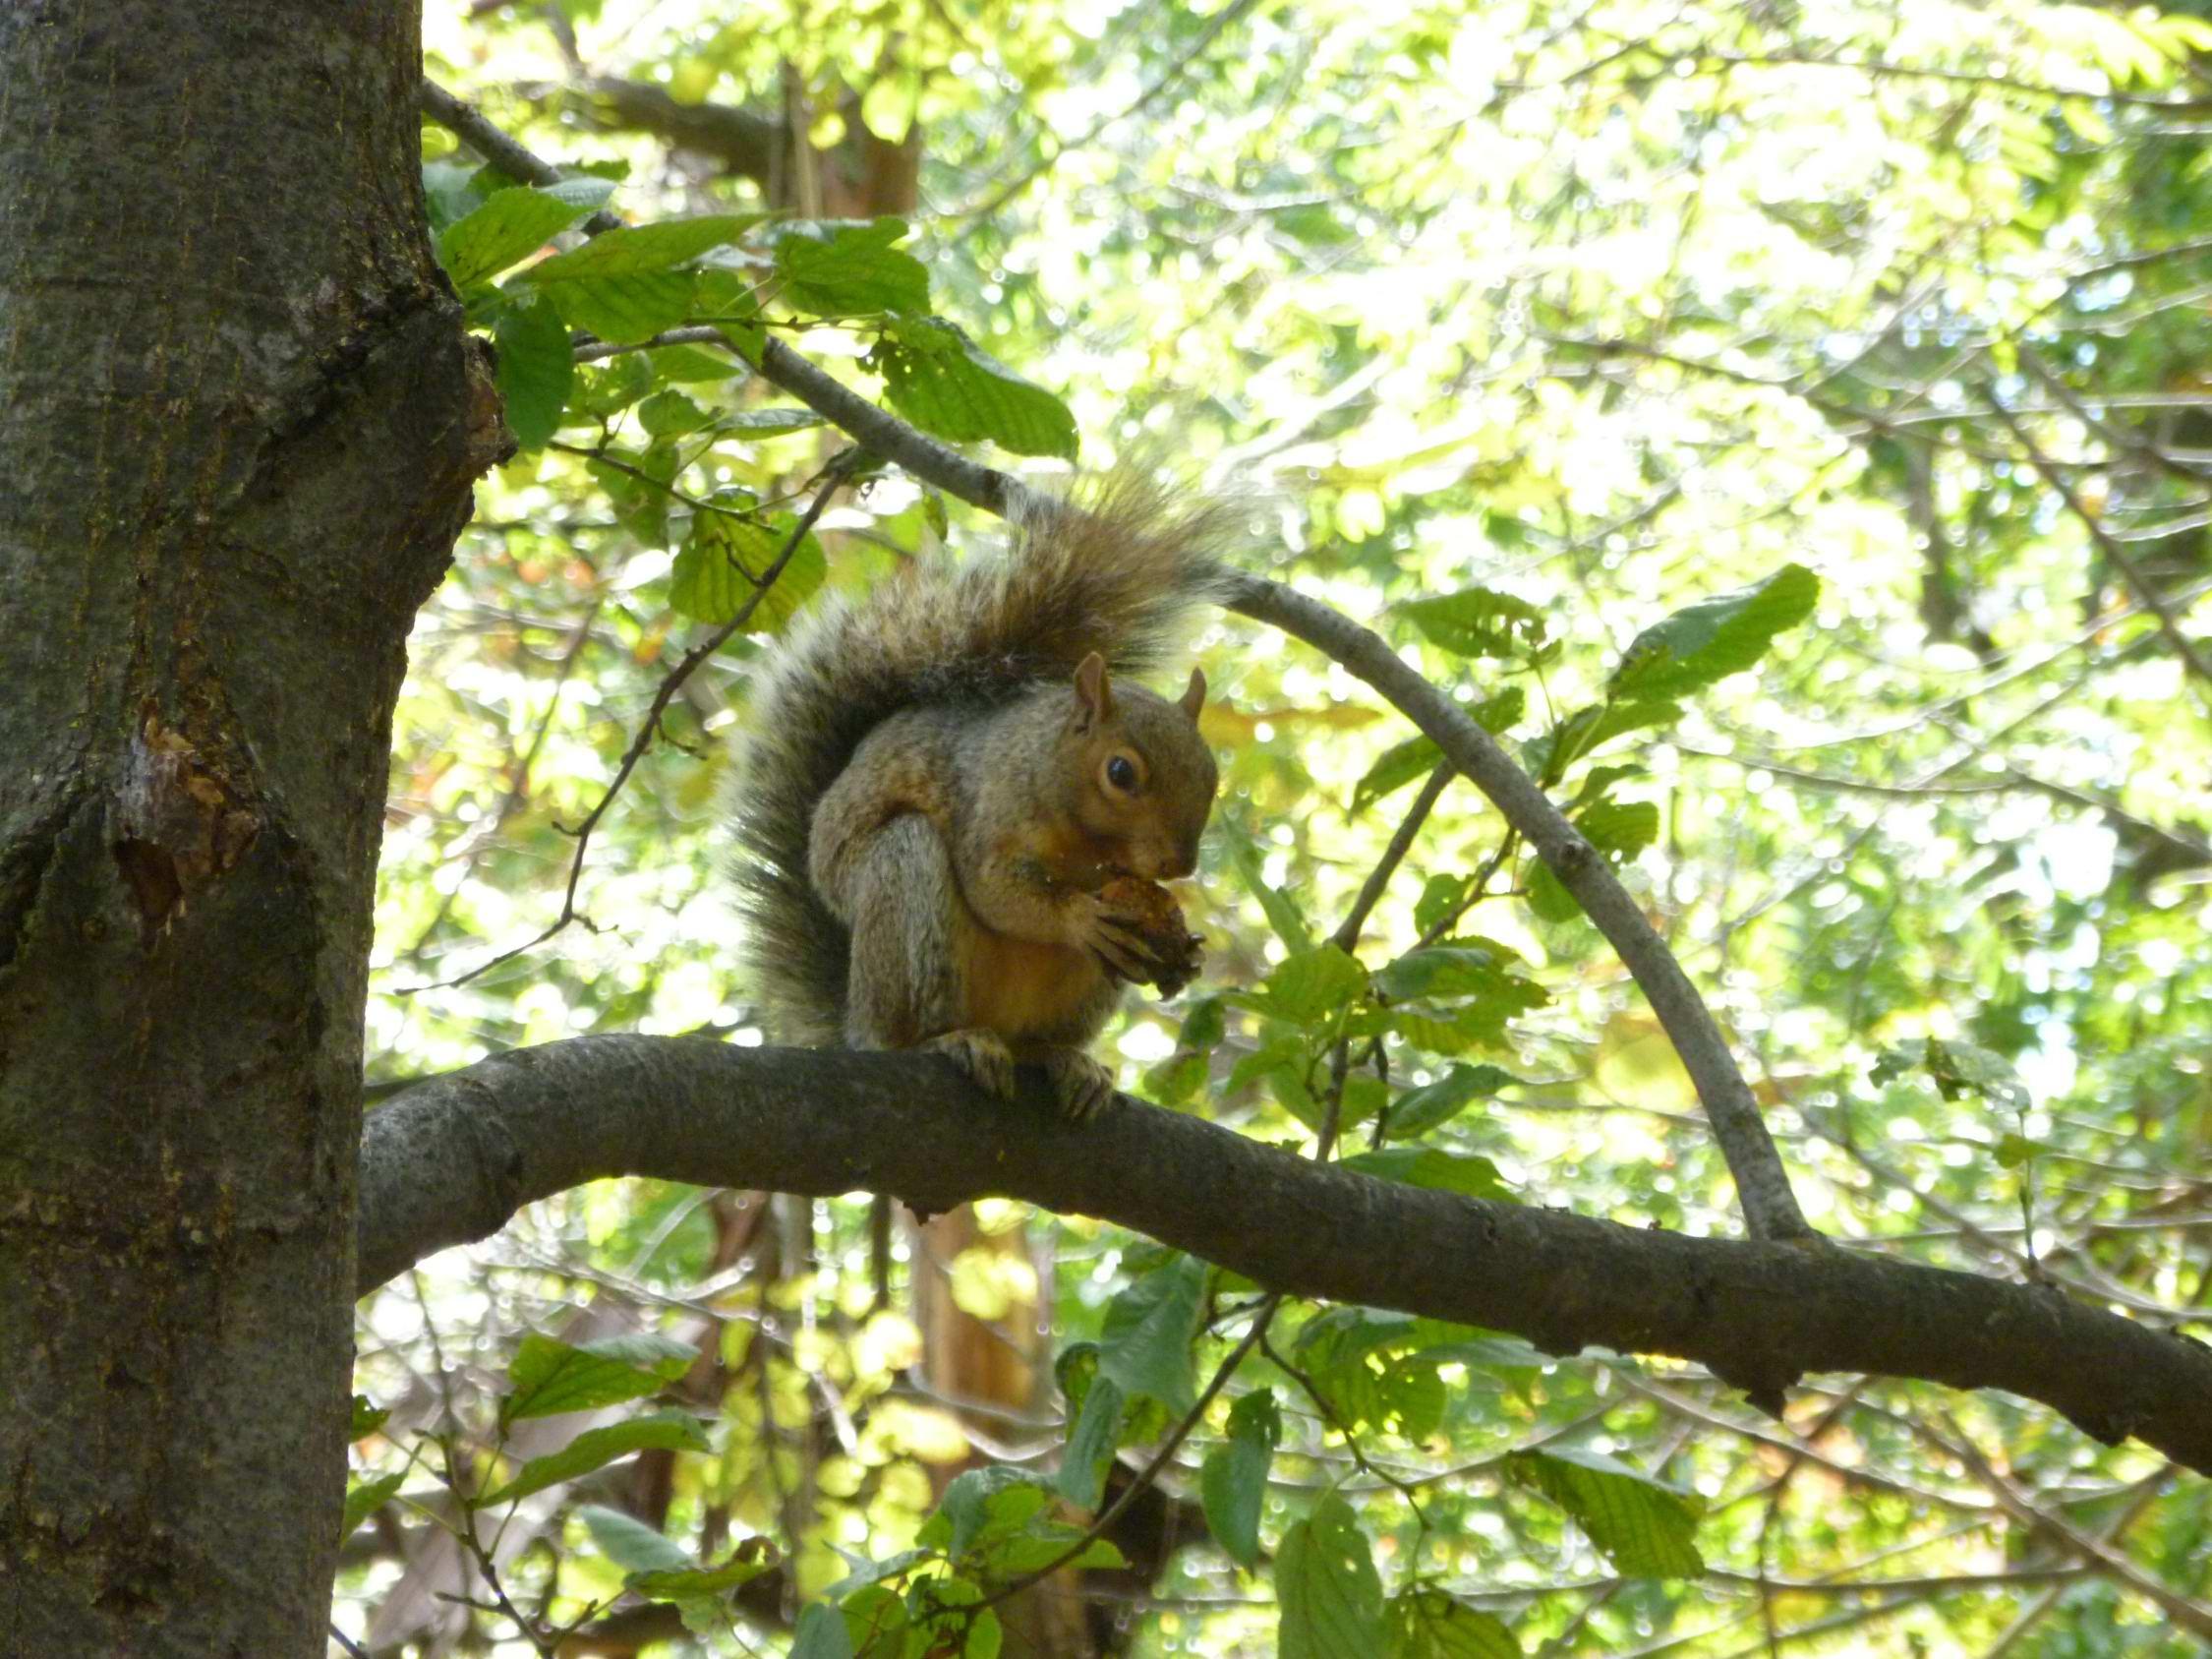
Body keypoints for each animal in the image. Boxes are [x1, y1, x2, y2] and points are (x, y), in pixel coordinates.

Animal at [734, 473, 1239, 1123]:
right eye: (1120, 772)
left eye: (1211, 772)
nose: (1180, 864)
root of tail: (852, 1021)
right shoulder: (989, 810)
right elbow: (993, 891)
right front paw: (1077, 916)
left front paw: (1190, 952)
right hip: (904, 888)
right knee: (906, 1017)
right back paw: (946, 1040)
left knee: (1039, 1042)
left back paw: (1067, 1062)